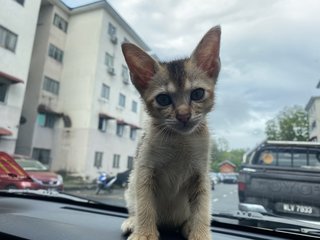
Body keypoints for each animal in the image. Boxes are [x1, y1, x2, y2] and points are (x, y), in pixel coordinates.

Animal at [120, 26, 220, 240]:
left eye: (197, 94)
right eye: (163, 99)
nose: (183, 115)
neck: (180, 140)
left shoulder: (201, 174)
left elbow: (202, 207)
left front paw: (200, 234)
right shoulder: (144, 169)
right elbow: (145, 205)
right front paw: (144, 233)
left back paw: (187, 226)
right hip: (131, 184)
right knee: (134, 206)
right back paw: (133, 221)